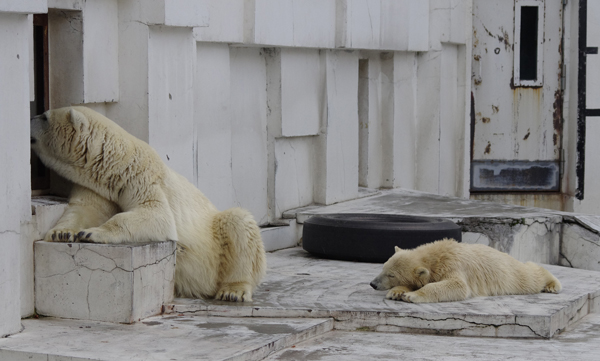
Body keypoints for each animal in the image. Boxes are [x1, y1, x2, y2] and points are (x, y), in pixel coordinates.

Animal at [30, 106, 264, 300]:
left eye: (44, 116)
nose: (30, 116)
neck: (117, 165)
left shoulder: (142, 177)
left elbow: (156, 214)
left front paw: (91, 233)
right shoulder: (99, 188)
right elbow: (85, 209)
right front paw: (61, 233)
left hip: (215, 244)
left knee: (239, 223)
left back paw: (233, 291)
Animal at [370, 238, 564, 302]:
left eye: (391, 275)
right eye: (383, 268)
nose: (373, 284)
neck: (437, 255)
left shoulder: (454, 266)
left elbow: (457, 286)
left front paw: (412, 296)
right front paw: (397, 293)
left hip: (511, 274)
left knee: (531, 275)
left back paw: (552, 285)